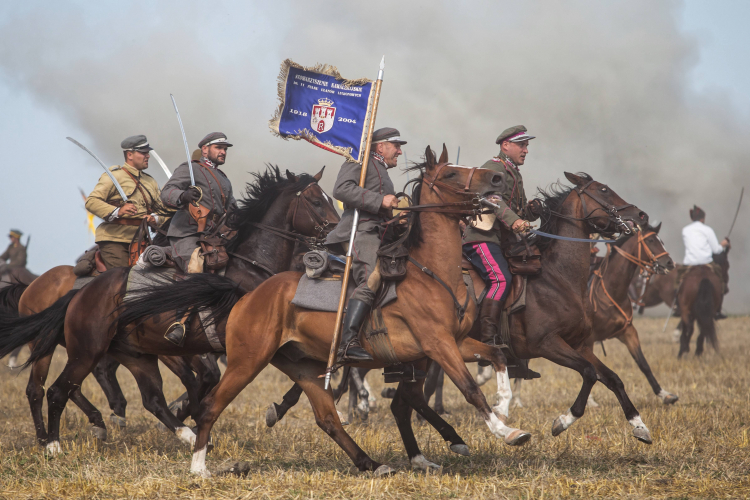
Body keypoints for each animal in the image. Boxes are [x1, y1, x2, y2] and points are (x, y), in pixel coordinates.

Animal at [0, 167, 338, 454]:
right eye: (315, 200)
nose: (335, 232)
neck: (247, 268)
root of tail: (74, 293)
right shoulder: (202, 347)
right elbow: (203, 378)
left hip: (132, 355)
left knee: (143, 398)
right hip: (73, 349)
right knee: (47, 390)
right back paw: (53, 442)